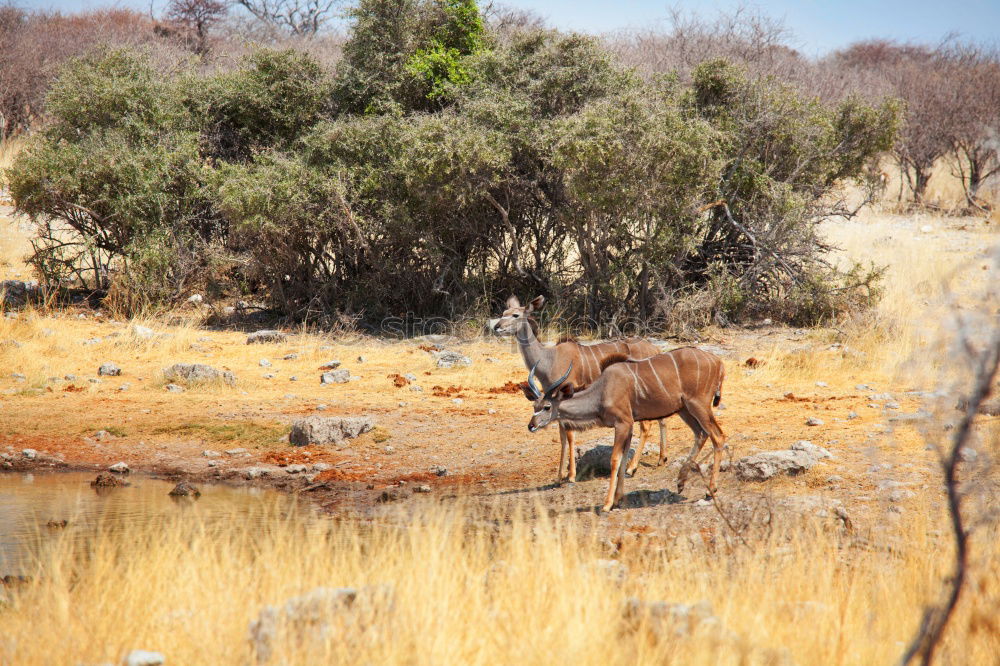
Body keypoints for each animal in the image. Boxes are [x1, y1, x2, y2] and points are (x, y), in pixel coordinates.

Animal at [494, 296, 668, 482]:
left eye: (515, 315)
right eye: (503, 312)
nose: (496, 327)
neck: (549, 360)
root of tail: (655, 349)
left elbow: (569, 434)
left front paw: (570, 475)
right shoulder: (554, 402)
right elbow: (562, 435)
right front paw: (560, 475)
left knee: (647, 425)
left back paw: (631, 468)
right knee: (661, 419)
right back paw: (662, 459)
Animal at [524, 344, 728, 510]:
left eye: (547, 407)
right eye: (534, 406)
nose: (531, 426)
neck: (602, 391)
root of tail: (718, 362)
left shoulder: (622, 423)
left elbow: (615, 459)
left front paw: (607, 504)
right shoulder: (628, 426)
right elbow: (623, 460)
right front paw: (617, 499)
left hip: (698, 404)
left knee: (717, 436)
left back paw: (710, 490)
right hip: (684, 409)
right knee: (701, 434)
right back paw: (680, 482)